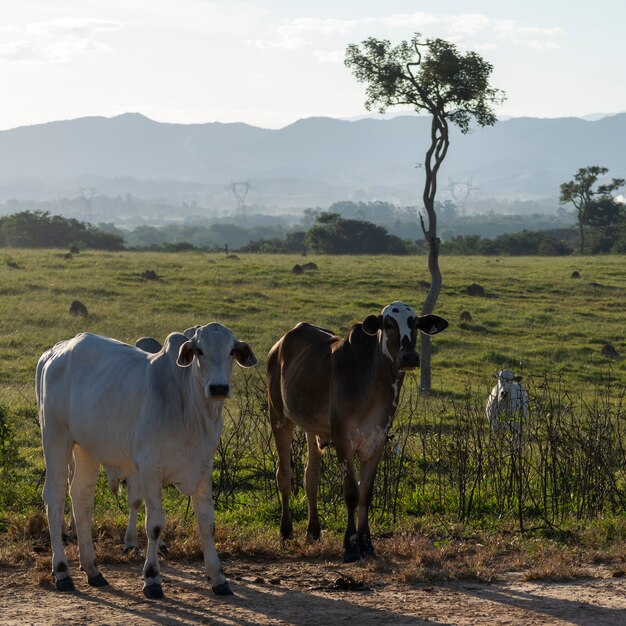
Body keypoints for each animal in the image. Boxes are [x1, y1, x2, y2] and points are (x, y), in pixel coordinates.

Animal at [36, 324, 255, 596]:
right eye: (200, 351)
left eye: (231, 351)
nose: (218, 388)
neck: (189, 410)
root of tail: (53, 353)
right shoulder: (150, 471)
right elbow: (155, 525)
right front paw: (152, 578)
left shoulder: (203, 470)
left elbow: (207, 523)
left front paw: (218, 578)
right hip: (57, 439)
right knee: (55, 498)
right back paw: (62, 571)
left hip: (87, 449)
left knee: (81, 499)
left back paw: (92, 569)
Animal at [266, 298, 446, 560]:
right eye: (388, 324)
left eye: (415, 325)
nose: (410, 356)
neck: (374, 384)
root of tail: (280, 343)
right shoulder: (343, 439)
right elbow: (351, 493)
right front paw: (350, 545)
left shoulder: (376, 441)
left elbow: (365, 494)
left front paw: (367, 543)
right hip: (279, 416)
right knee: (284, 474)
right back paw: (286, 531)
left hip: (312, 427)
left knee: (311, 476)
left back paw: (313, 531)